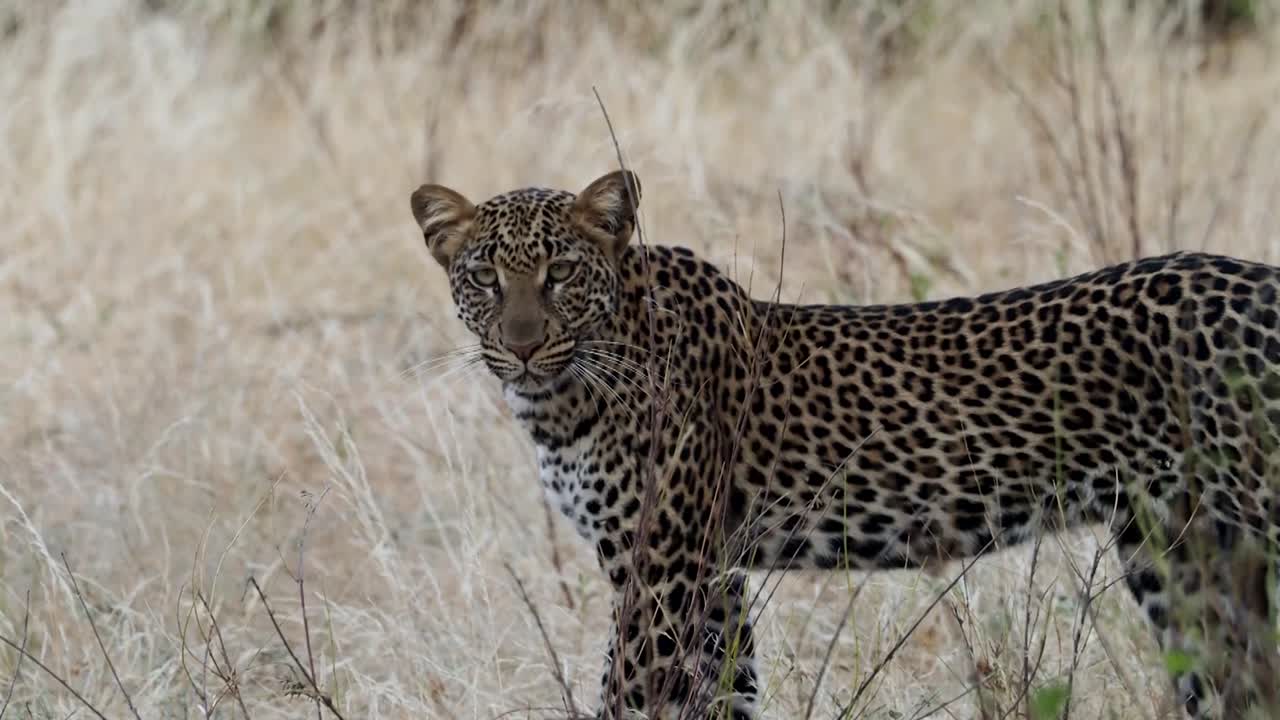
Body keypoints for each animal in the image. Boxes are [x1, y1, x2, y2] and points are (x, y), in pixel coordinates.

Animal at [409, 170, 1280, 719]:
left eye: (560, 273)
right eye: (484, 278)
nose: (522, 345)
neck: (567, 392)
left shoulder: (660, 575)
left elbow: (624, 699)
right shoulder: (715, 579)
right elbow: (724, 694)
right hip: (1184, 555)